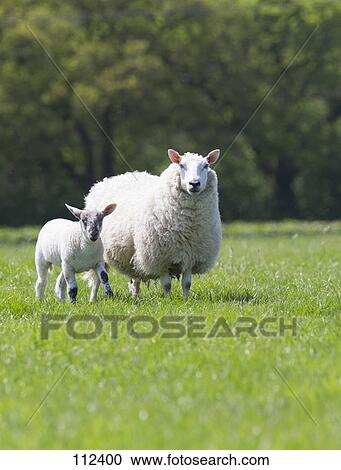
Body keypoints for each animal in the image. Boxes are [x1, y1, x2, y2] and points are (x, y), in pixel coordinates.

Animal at [84, 149, 222, 298]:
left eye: (206, 165)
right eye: (181, 165)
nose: (194, 183)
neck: (187, 226)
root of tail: (104, 181)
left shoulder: (191, 255)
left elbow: (187, 283)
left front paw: (186, 299)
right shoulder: (159, 257)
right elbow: (167, 285)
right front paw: (168, 300)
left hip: (135, 255)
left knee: (135, 279)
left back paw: (135, 298)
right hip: (98, 252)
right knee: (97, 279)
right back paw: (93, 298)